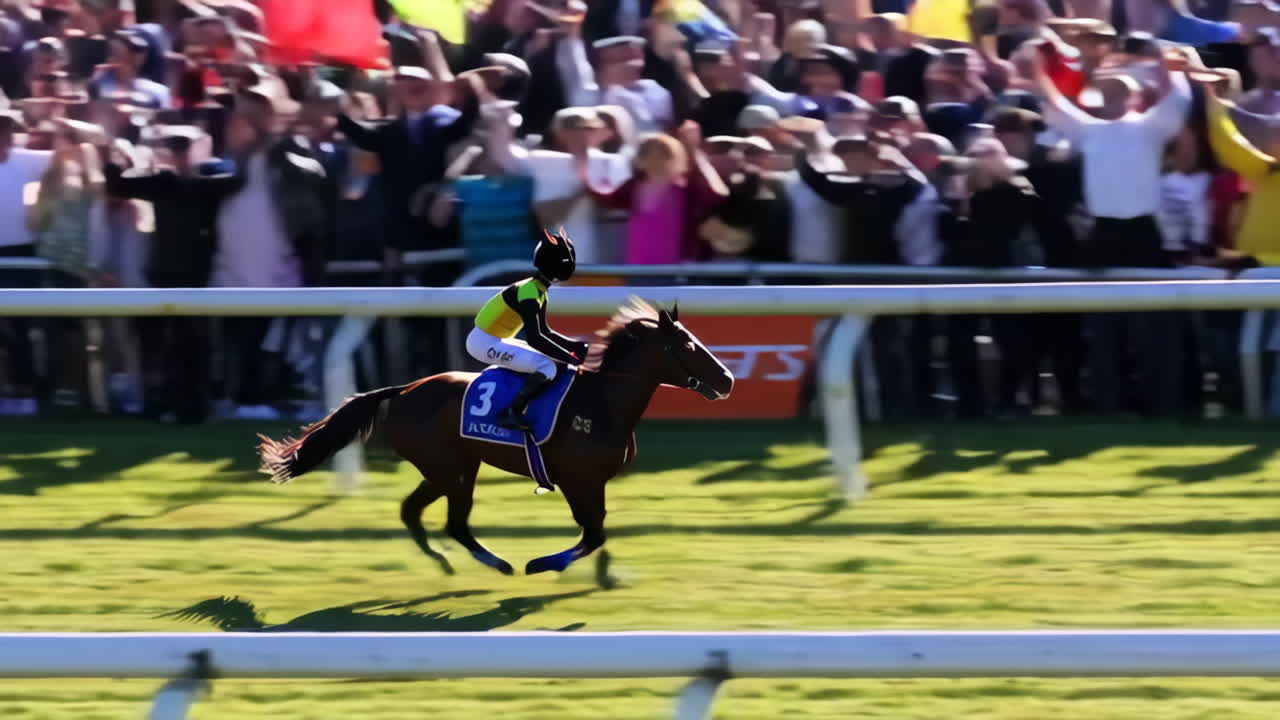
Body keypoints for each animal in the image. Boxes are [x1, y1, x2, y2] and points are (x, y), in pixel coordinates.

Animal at [257, 299, 733, 583]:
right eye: (687, 346)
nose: (727, 379)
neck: (602, 403)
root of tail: (404, 390)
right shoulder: (579, 480)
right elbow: (592, 533)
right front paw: (545, 563)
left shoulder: (592, 483)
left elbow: (597, 533)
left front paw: (606, 574)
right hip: (448, 469)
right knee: (451, 521)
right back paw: (494, 562)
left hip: (455, 466)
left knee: (418, 513)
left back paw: (446, 561)